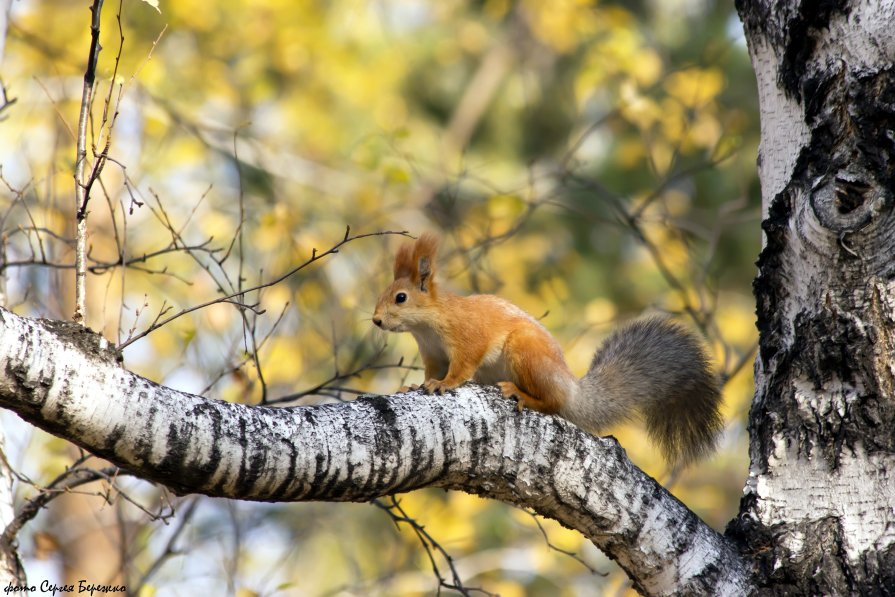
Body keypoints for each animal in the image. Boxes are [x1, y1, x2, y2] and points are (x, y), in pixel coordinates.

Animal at [374, 233, 724, 466]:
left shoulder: (467, 338)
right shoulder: (432, 353)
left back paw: (522, 395)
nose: (376, 320)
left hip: (525, 353)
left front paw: (445, 384)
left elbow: (462, 367)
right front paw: (416, 385)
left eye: (401, 298)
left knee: (553, 403)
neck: (428, 325)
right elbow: (431, 371)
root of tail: (570, 387)